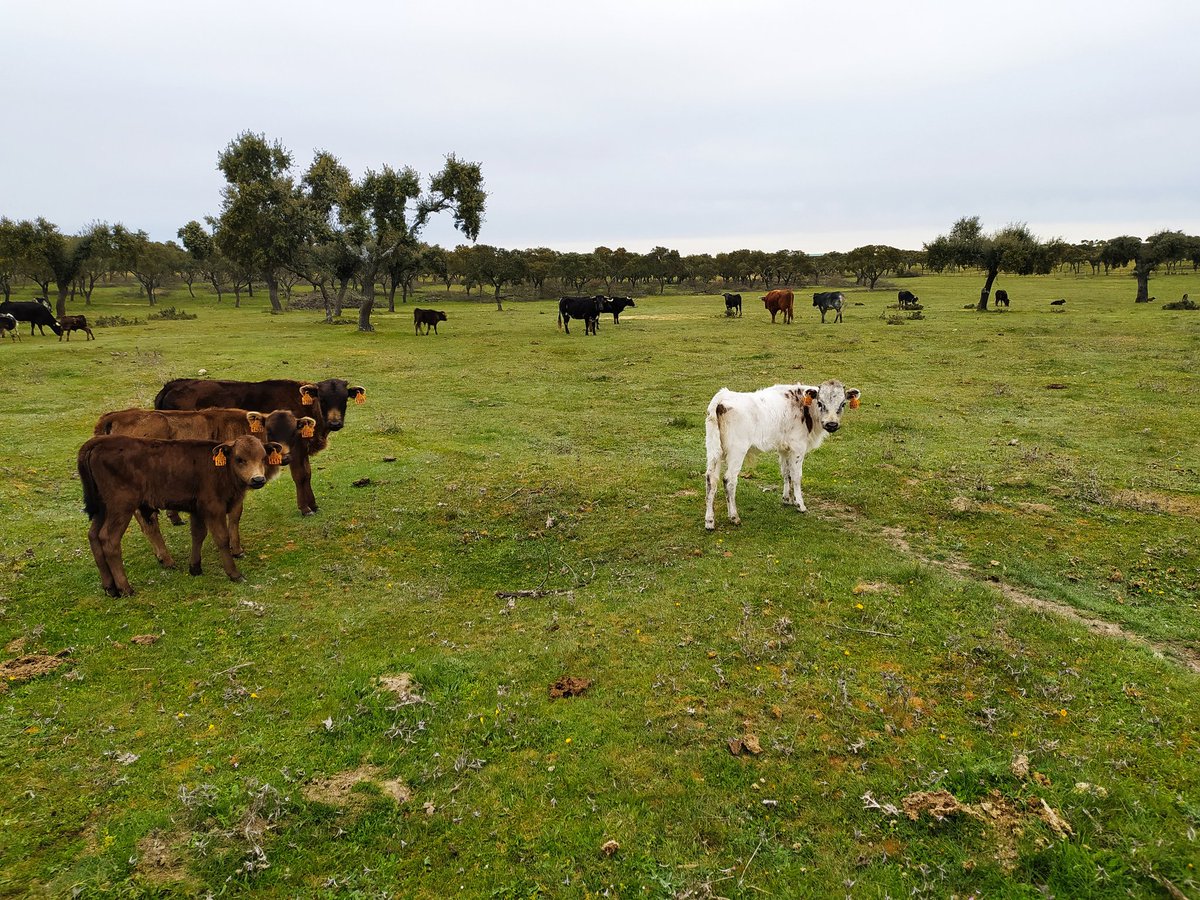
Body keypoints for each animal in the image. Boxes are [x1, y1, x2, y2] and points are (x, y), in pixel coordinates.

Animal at [79, 436, 285, 600]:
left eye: (263, 458)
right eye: (239, 459)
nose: (258, 479)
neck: (220, 470)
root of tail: (100, 442)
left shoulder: (197, 510)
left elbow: (198, 535)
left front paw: (195, 568)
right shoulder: (213, 508)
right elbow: (221, 538)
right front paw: (234, 574)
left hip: (102, 509)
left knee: (93, 536)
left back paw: (109, 587)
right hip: (121, 507)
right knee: (109, 540)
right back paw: (125, 588)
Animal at [93, 408, 314, 556]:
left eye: (294, 431)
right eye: (270, 430)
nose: (285, 456)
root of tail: (114, 417)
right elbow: (234, 516)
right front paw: (236, 549)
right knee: (149, 520)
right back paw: (166, 558)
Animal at [700, 376, 864, 532]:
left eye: (842, 404)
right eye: (820, 403)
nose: (831, 424)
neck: (803, 407)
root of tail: (723, 396)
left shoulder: (784, 449)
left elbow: (786, 473)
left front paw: (787, 499)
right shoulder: (798, 448)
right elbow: (796, 476)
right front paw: (800, 504)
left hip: (714, 451)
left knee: (711, 479)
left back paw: (709, 522)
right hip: (736, 451)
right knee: (729, 480)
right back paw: (734, 517)